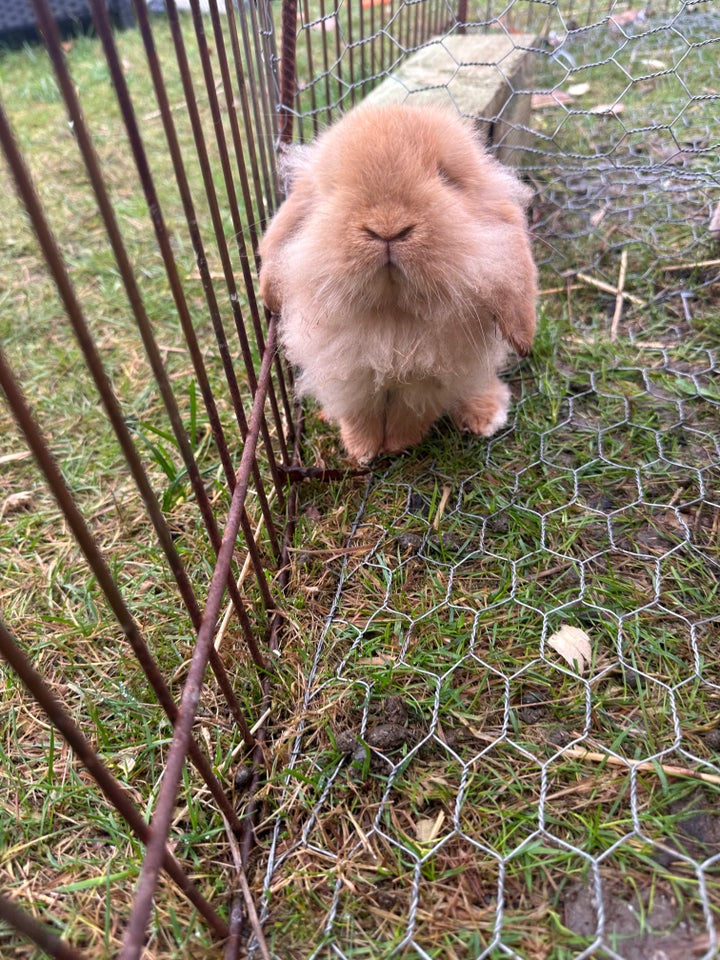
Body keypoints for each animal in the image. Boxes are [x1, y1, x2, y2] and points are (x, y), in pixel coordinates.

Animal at [258, 103, 536, 464]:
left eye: (445, 178)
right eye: (333, 188)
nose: (387, 227)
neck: (392, 317)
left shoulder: (428, 383)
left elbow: (410, 416)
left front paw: (398, 445)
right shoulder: (347, 379)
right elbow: (359, 417)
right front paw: (362, 451)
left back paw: (484, 416)